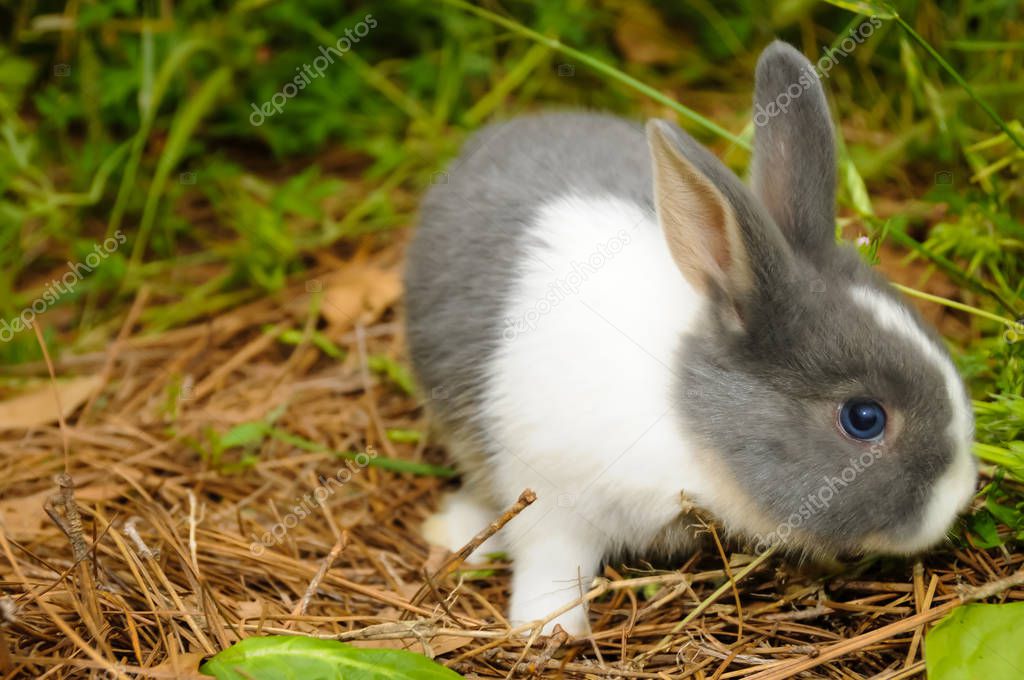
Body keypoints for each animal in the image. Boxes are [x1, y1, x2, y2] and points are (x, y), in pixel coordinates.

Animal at [403, 41, 978, 637]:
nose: (959, 496)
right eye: (864, 418)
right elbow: (551, 570)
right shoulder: (551, 500)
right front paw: (547, 631)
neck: (683, 417)